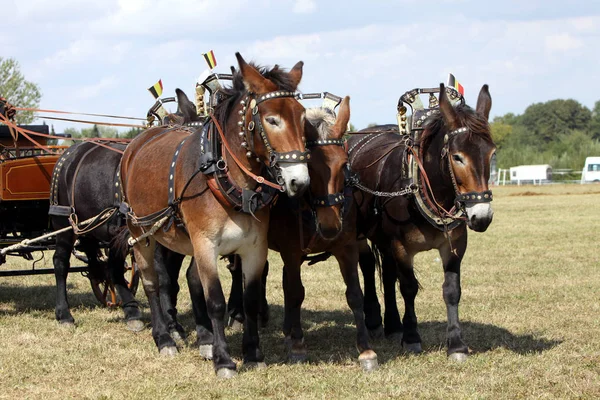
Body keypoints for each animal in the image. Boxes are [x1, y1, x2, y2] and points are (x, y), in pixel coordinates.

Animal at [120, 54, 312, 378]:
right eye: (272, 119)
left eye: (302, 117)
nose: (299, 181)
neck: (226, 178)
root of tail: (136, 143)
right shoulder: (205, 245)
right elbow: (215, 301)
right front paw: (224, 359)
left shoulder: (254, 247)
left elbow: (248, 300)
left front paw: (252, 353)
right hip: (142, 232)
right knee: (152, 282)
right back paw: (164, 338)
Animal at [350, 84, 494, 362]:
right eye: (457, 157)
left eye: (492, 153)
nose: (482, 216)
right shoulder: (401, 246)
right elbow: (408, 288)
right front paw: (412, 338)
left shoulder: (454, 245)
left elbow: (451, 290)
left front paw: (456, 345)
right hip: (361, 231)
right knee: (368, 265)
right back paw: (374, 320)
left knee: (387, 273)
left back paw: (393, 325)